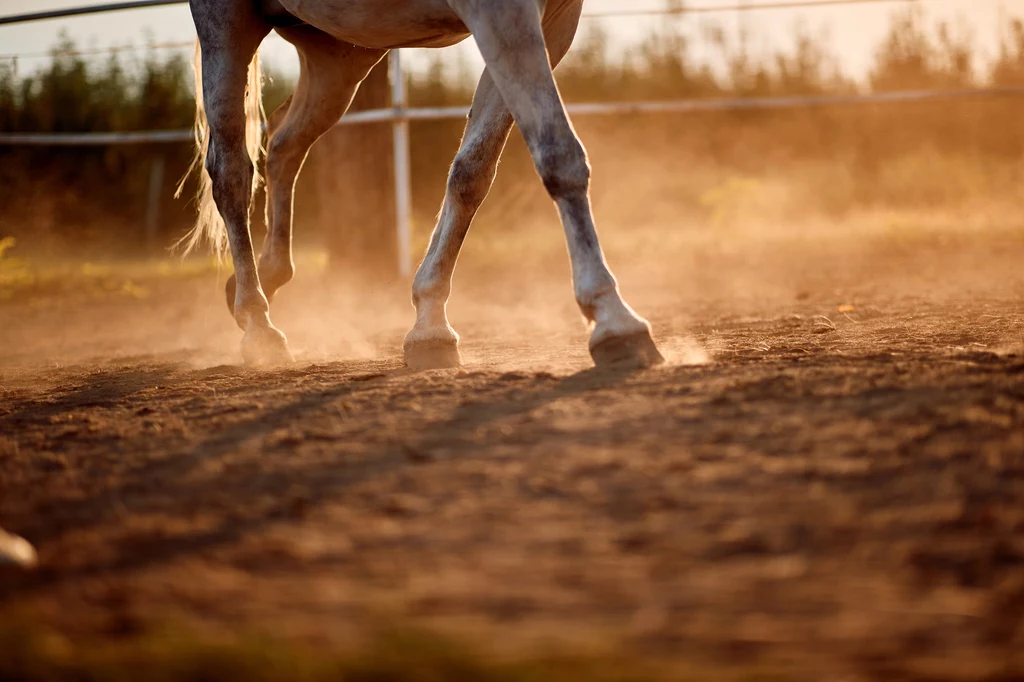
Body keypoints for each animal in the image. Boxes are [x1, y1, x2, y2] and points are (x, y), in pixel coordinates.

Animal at [182, 0, 663, 368]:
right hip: (229, 26)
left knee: (284, 142)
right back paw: (258, 324)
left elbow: (472, 172)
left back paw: (263, 279)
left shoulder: (553, 21)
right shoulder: (502, 13)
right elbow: (559, 154)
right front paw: (614, 319)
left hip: (339, 52)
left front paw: (430, 325)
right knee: (231, 172)